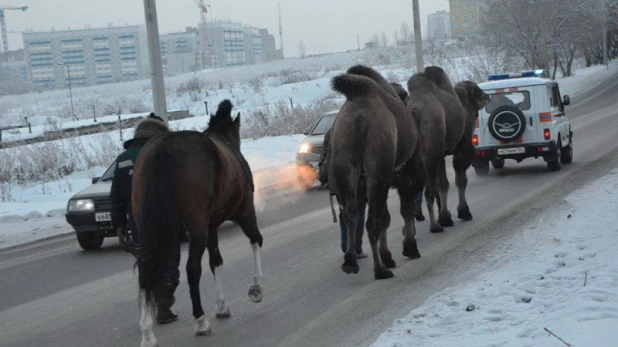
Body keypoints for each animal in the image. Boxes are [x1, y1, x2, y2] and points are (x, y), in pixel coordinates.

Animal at [132, 99, 262, 346]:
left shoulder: (211, 226)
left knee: (144, 271)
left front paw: (221, 306)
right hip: (197, 228)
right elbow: (256, 240)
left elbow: (216, 262)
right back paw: (200, 321)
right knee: (192, 268)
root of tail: (165, 148)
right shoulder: (244, 212)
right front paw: (256, 288)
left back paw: (147, 333)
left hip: (147, 230)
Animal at [328, 65, 424, 282]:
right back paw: (380, 270)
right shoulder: (407, 176)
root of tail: (358, 119)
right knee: (372, 222)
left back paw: (350, 262)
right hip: (378, 169)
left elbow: (386, 217)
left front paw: (388, 256)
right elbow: (405, 211)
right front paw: (409, 249)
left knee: (351, 214)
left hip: (346, 166)